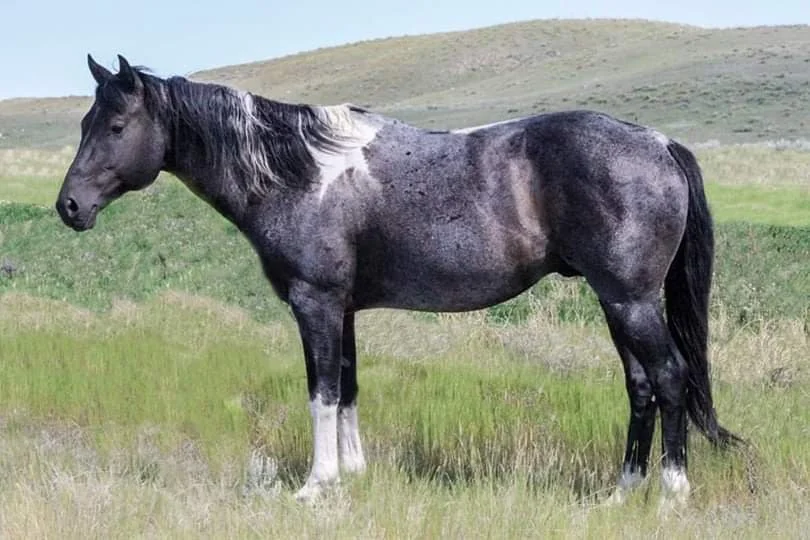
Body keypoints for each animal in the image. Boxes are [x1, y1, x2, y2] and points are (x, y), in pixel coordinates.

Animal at [56, 55, 740, 505]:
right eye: (84, 124)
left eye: (115, 127)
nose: (69, 207)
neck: (300, 172)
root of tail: (659, 142)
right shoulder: (344, 309)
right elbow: (349, 388)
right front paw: (354, 475)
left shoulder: (315, 304)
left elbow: (322, 393)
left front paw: (317, 485)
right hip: (617, 303)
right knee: (641, 386)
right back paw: (621, 493)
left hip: (631, 302)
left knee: (670, 377)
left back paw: (673, 492)